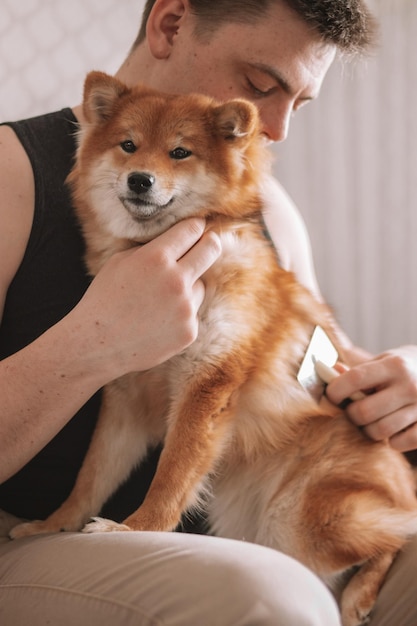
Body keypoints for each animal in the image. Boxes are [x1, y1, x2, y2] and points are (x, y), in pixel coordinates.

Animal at [10, 70, 416, 620]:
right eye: (128, 145)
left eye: (180, 152)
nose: (140, 179)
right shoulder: (124, 399)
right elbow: (90, 477)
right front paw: (57, 523)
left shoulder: (208, 382)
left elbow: (172, 474)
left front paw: (137, 528)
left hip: (300, 520)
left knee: (398, 536)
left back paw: (358, 597)